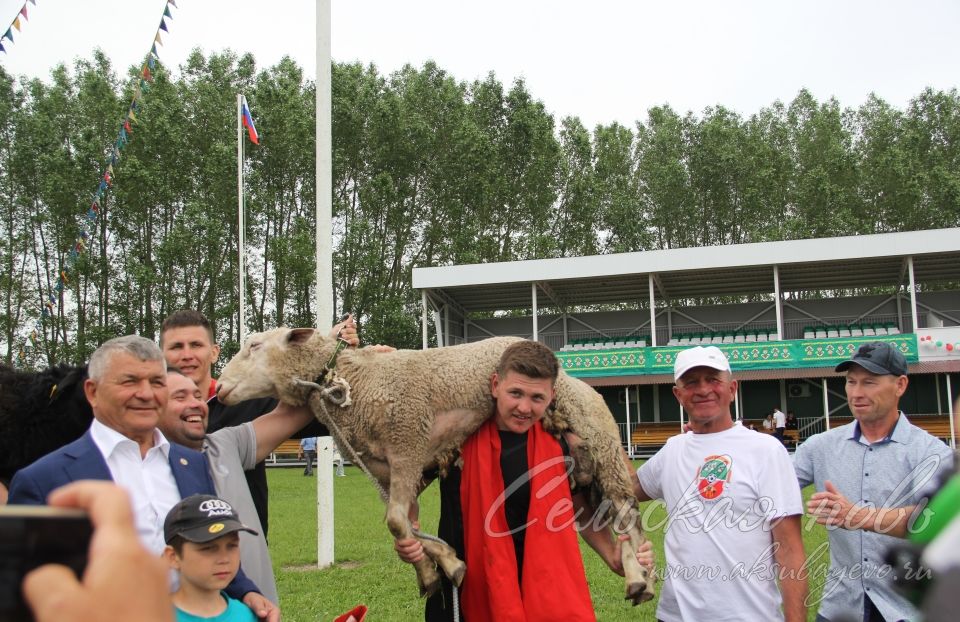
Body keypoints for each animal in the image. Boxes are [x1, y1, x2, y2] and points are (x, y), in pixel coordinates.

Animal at [217, 330, 652, 608]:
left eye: (254, 345)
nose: (219, 388)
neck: (353, 381)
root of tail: (579, 381)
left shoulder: (408, 444)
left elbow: (395, 521)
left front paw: (445, 566)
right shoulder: (390, 469)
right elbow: (403, 524)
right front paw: (436, 566)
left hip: (602, 442)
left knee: (627, 513)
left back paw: (638, 578)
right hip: (580, 467)